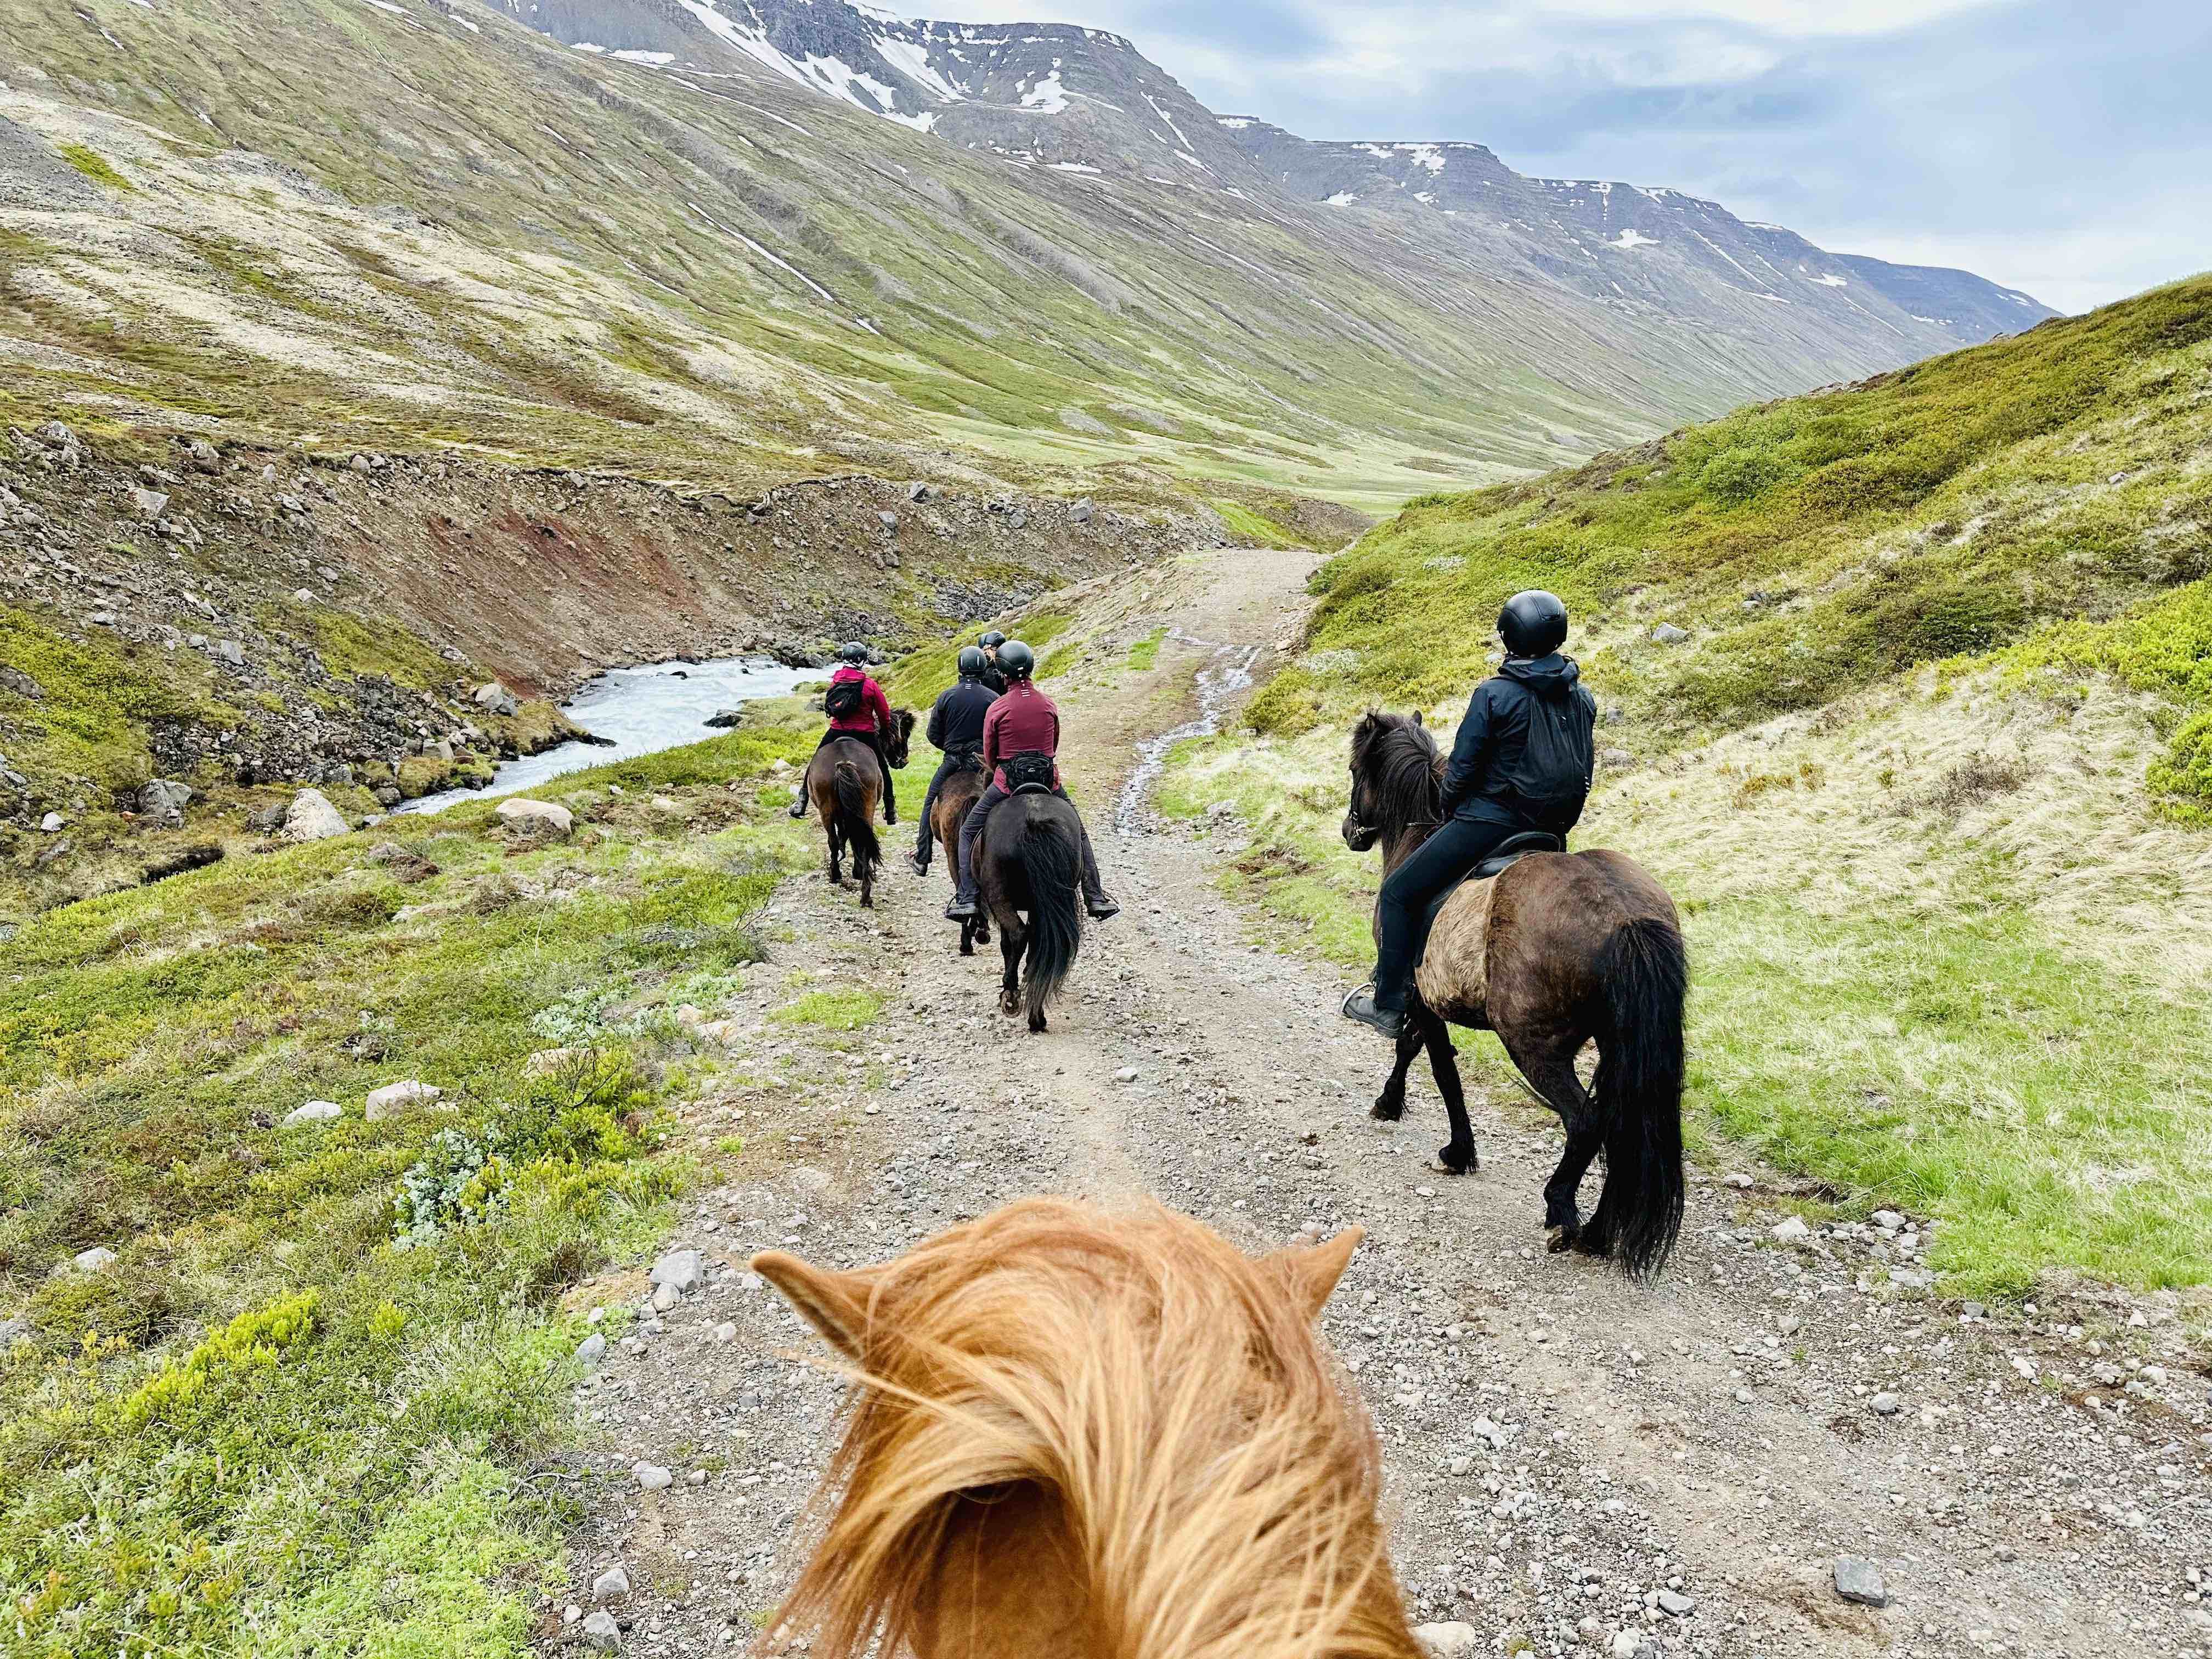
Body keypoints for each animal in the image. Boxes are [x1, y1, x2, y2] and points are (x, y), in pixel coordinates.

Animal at [805, 712, 916, 916]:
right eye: (905, 733)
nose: (903, 761)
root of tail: (844, 763)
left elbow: (845, 837)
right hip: (863, 810)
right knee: (861, 841)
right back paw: (866, 895)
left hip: (829, 811)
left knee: (835, 841)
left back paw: (837, 875)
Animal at [978, 787, 1088, 1035]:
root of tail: (1034, 822)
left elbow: (1006, 945)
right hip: (1044, 905)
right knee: (1041, 948)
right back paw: (1036, 1017)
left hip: (1000, 897)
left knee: (1019, 935)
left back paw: (1011, 995)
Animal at [1336, 716, 1681, 1283]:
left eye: (1353, 768)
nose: (1350, 831)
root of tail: (1624, 917)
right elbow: (1419, 1052)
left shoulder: (1423, 1000)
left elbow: (1433, 1063)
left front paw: (1451, 1147)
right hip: (1616, 1045)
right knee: (1619, 1123)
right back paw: (1598, 1232)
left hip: (1534, 1044)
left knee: (1585, 1121)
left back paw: (1563, 1213)